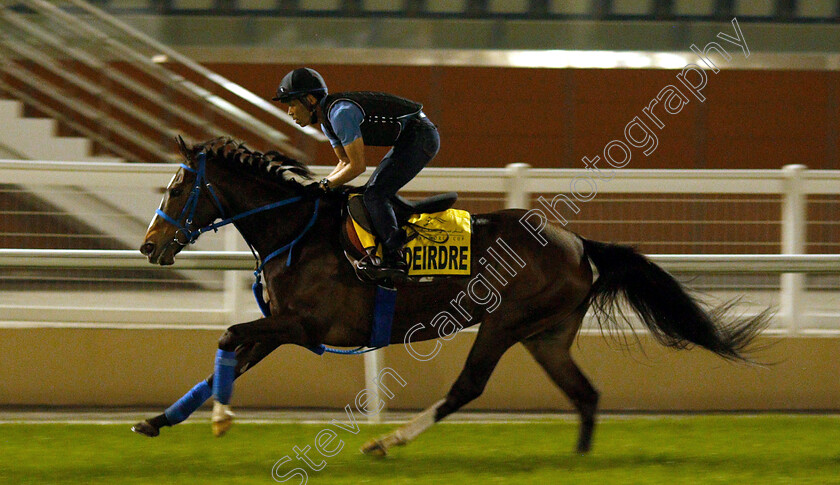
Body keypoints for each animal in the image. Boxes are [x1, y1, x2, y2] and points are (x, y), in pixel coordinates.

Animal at [135, 135, 772, 454]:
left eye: (179, 187)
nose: (148, 245)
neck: (294, 231)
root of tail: (577, 242)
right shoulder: (282, 328)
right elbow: (226, 362)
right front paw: (158, 420)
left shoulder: (304, 326)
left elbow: (227, 338)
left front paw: (221, 420)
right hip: (547, 335)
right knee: (585, 394)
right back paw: (578, 460)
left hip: (504, 322)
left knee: (469, 386)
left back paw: (389, 440)